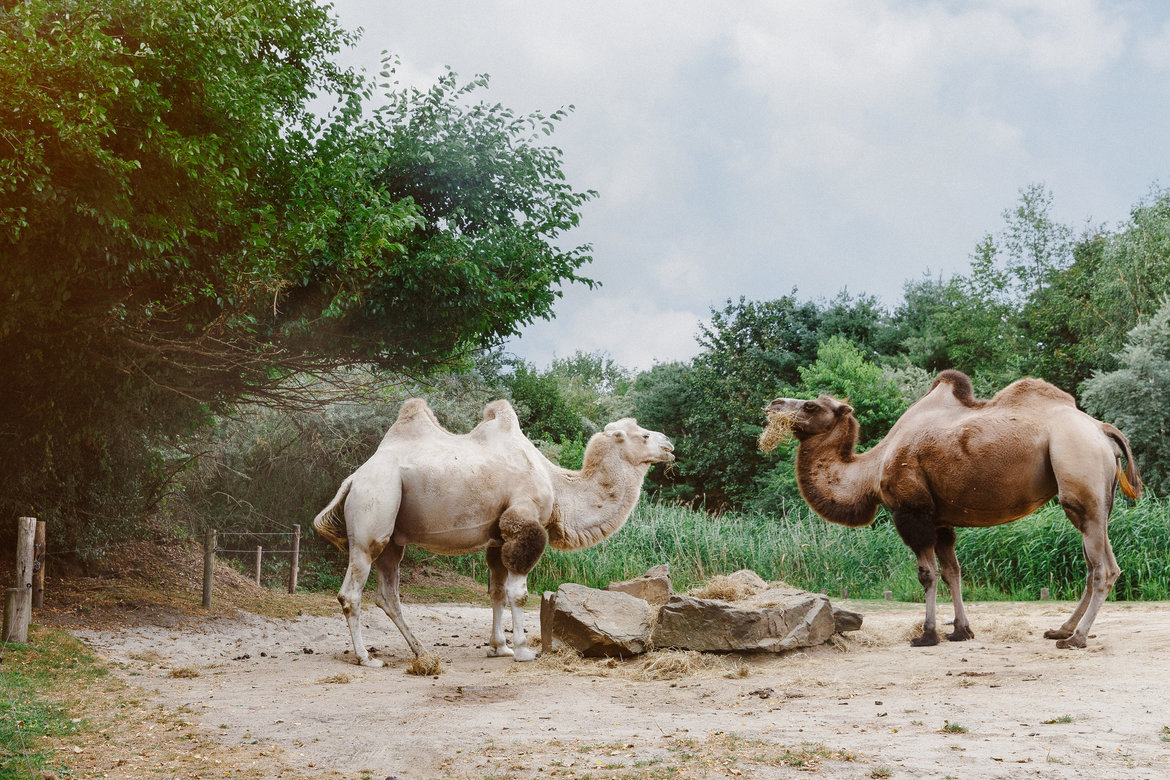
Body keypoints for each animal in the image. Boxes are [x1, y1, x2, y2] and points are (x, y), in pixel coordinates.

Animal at [313, 399, 678, 668]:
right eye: (643, 435)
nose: (670, 444)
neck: (557, 484)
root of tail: (353, 478)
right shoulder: (523, 520)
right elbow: (518, 593)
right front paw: (523, 650)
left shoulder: (499, 535)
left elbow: (497, 592)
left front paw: (499, 647)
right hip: (373, 509)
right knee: (352, 591)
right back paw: (365, 658)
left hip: (392, 536)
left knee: (388, 594)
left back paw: (421, 651)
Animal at [767, 369, 1141, 650]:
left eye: (811, 406)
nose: (773, 403)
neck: (871, 471)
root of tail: (1101, 429)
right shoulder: (940, 519)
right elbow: (953, 571)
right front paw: (961, 631)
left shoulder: (911, 512)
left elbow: (927, 574)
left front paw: (927, 635)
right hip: (1099, 501)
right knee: (1095, 564)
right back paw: (1061, 629)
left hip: (1079, 476)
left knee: (1103, 568)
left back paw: (1075, 639)